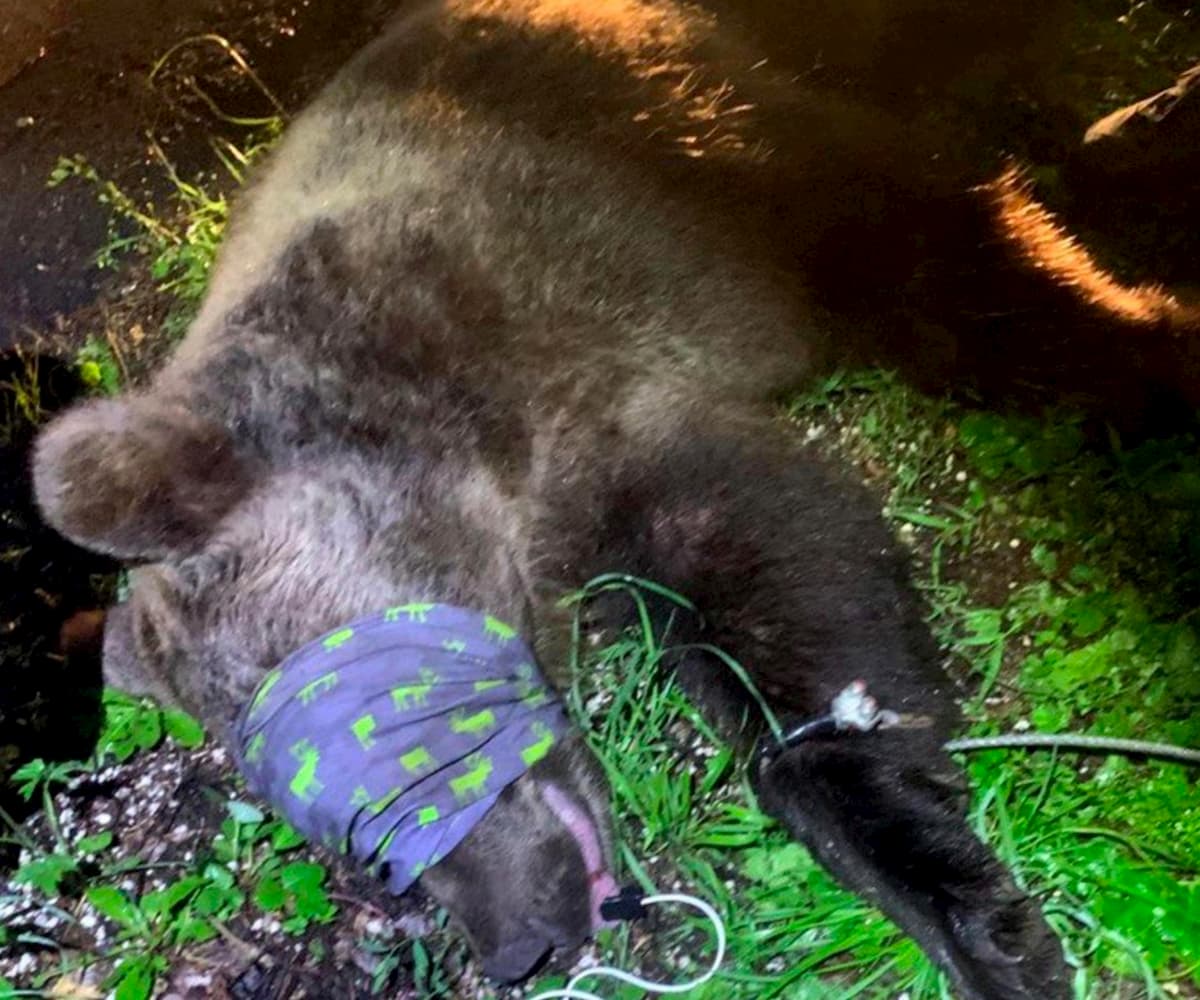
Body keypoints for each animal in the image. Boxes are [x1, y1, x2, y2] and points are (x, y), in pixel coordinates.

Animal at [31, 1, 1077, 996]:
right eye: (332, 832)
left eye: (375, 735)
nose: (515, 944)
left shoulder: (601, 346)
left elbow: (788, 575)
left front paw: (969, 915)